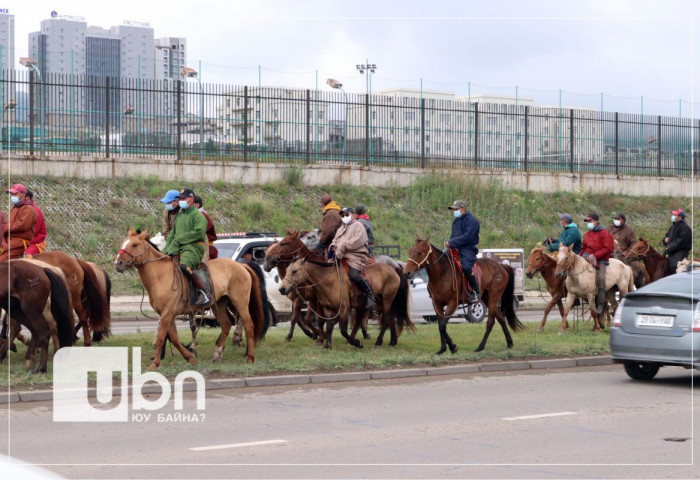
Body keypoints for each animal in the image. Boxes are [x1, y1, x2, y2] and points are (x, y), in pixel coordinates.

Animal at [115, 229, 268, 368]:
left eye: (134, 245)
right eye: (123, 244)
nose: (118, 263)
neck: (161, 275)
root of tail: (241, 265)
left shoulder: (167, 314)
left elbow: (161, 337)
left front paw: (155, 363)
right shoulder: (168, 315)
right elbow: (174, 338)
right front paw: (190, 358)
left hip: (240, 303)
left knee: (248, 325)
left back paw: (250, 357)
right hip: (219, 304)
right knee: (226, 324)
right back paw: (217, 354)